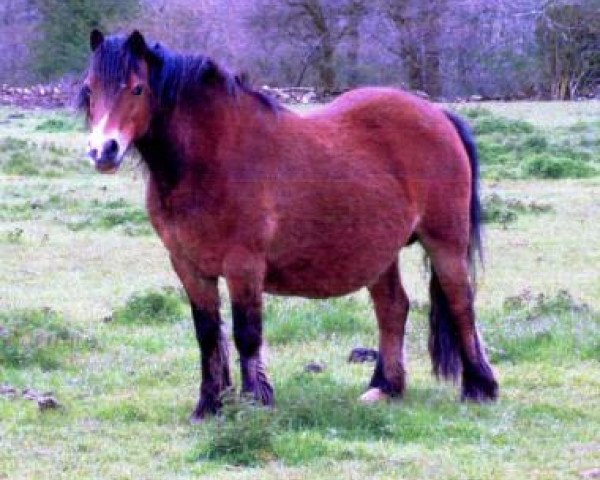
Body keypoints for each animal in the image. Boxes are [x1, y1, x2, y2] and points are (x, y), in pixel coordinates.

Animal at [79, 29, 500, 420]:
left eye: (137, 88)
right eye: (90, 89)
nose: (103, 151)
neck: (210, 158)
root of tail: (440, 116)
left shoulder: (244, 265)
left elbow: (246, 335)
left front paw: (254, 404)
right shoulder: (189, 267)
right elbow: (208, 335)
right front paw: (209, 405)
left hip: (444, 243)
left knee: (461, 303)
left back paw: (479, 388)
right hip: (381, 253)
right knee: (393, 308)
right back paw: (385, 388)